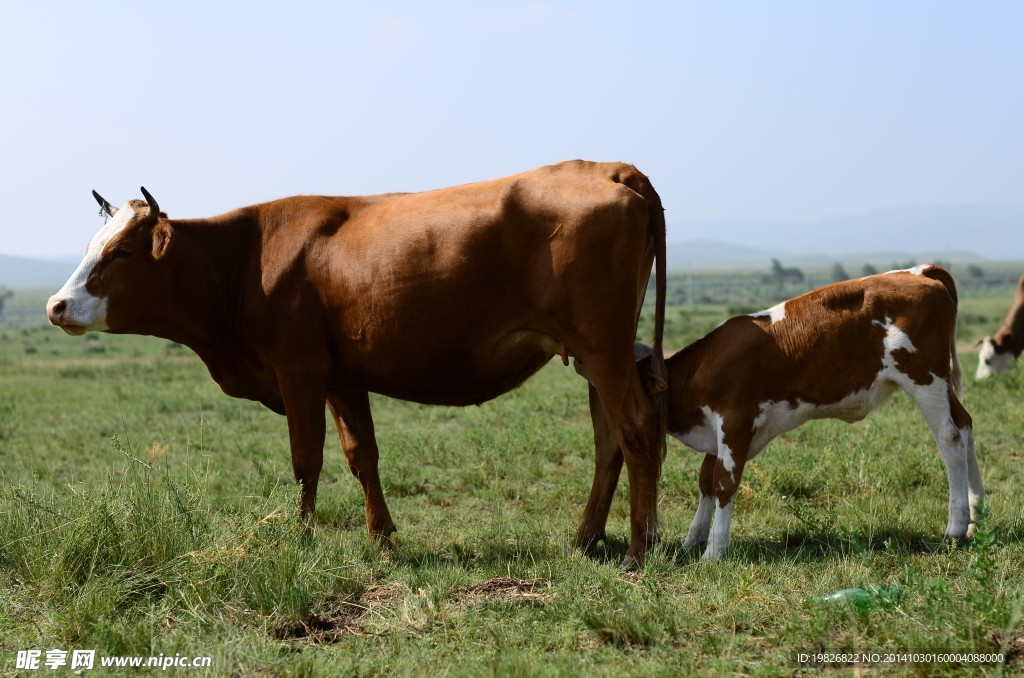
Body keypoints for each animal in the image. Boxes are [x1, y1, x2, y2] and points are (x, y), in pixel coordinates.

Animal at [48, 161, 671, 565]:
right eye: (91, 245)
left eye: (121, 252)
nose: (56, 306)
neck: (246, 261)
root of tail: (609, 169)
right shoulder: (342, 379)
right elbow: (360, 456)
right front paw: (381, 537)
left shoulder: (298, 372)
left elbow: (306, 460)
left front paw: (301, 538)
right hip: (593, 354)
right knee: (610, 439)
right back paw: (585, 538)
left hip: (603, 347)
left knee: (638, 430)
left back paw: (640, 548)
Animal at [577, 266, 983, 561]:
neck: (701, 370)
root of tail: (919, 272)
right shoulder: (720, 432)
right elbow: (706, 480)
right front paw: (692, 541)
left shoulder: (736, 422)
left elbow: (723, 483)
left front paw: (713, 552)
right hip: (940, 382)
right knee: (965, 425)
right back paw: (978, 514)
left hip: (924, 377)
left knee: (949, 437)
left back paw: (955, 526)